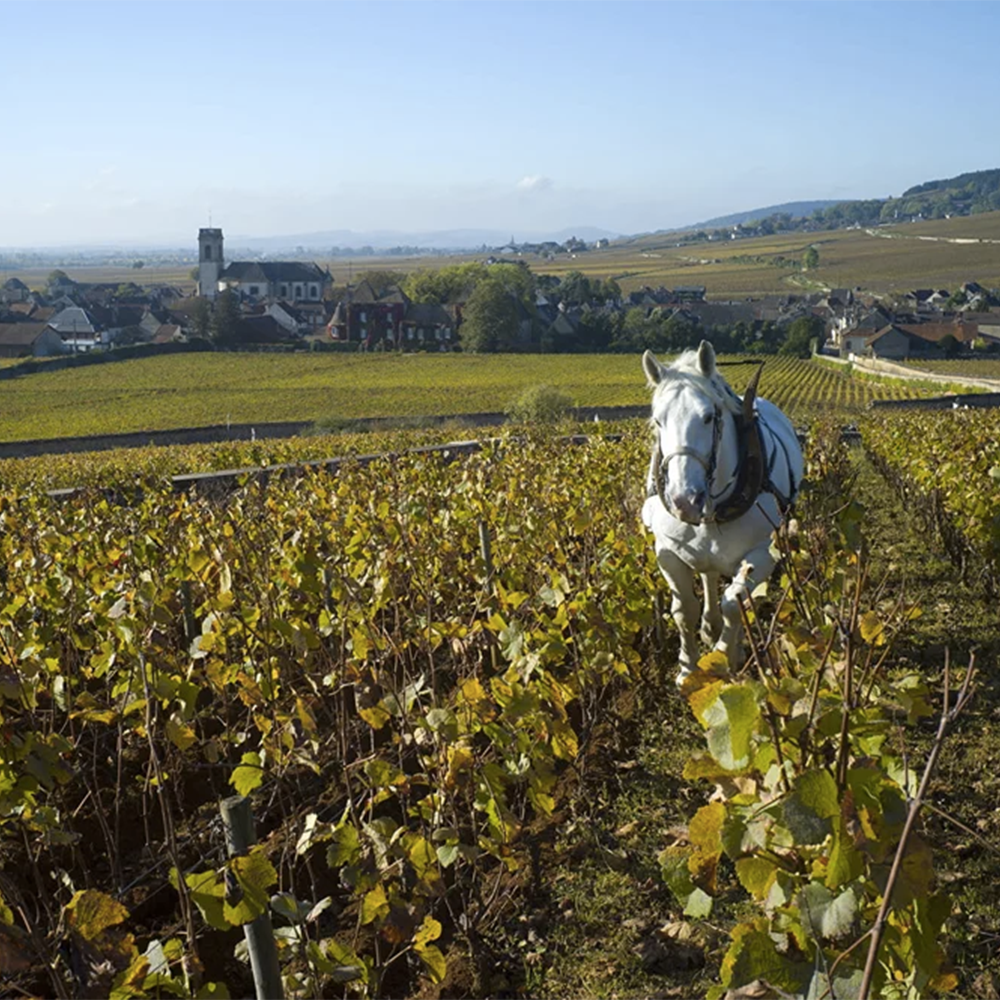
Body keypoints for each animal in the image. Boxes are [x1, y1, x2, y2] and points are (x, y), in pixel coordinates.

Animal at [640, 340, 804, 686]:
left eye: (708, 417)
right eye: (658, 420)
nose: (683, 499)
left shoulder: (764, 554)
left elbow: (735, 602)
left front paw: (723, 656)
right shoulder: (667, 553)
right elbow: (683, 609)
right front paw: (687, 669)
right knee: (708, 573)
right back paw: (710, 625)